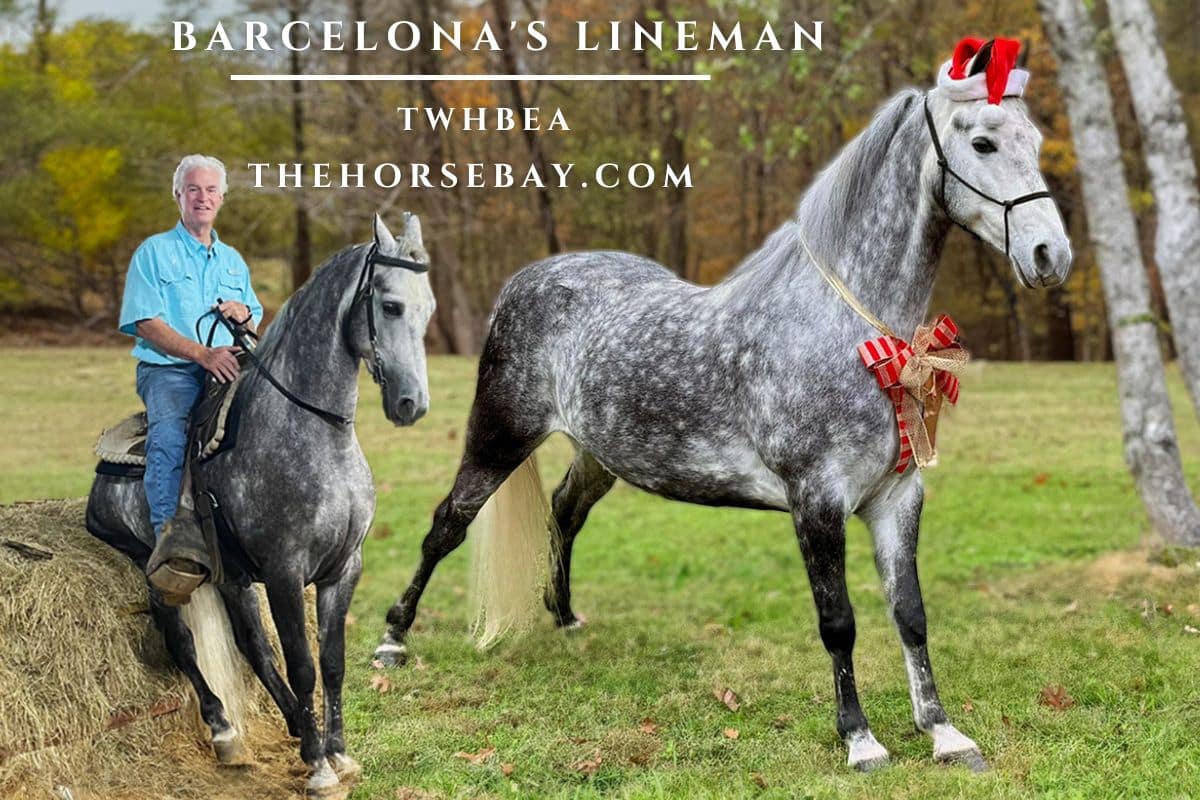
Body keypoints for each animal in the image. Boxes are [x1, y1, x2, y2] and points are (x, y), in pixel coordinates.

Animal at [86, 213, 435, 796]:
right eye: (390, 305)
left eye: (427, 307)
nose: (413, 404)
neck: (315, 431)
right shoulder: (284, 571)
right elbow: (303, 664)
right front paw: (319, 768)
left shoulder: (343, 569)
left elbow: (332, 663)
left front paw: (337, 753)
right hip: (155, 568)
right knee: (182, 641)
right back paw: (225, 731)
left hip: (232, 578)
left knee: (252, 644)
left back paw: (293, 723)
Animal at [372, 54, 1072, 771]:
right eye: (982, 143)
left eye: (1036, 141)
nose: (1050, 257)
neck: (842, 328)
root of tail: (525, 281)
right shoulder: (817, 501)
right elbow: (839, 623)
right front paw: (860, 739)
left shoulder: (897, 498)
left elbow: (910, 614)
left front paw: (943, 732)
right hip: (498, 435)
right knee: (447, 525)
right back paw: (394, 639)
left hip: (598, 454)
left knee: (564, 513)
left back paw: (564, 618)